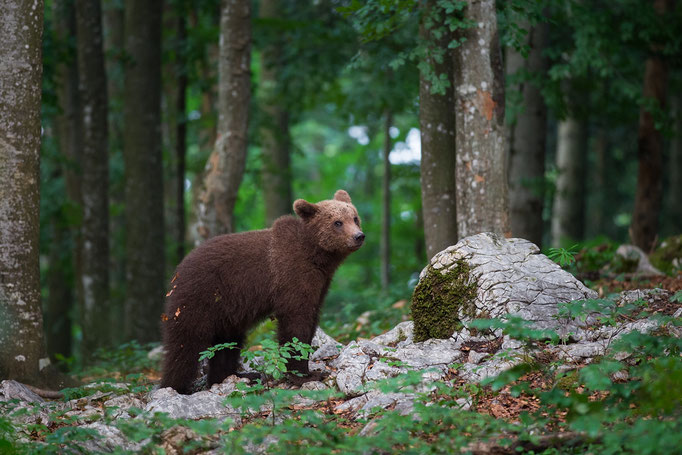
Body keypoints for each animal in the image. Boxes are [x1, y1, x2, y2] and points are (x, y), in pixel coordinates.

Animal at [159, 191, 364, 394]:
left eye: (355, 218)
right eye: (337, 222)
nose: (359, 236)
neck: (316, 256)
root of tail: (177, 272)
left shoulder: (320, 284)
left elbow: (311, 318)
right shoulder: (291, 276)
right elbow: (296, 323)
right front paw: (305, 375)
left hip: (226, 313)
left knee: (227, 343)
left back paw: (238, 376)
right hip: (198, 298)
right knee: (185, 345)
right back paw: (174, 387)